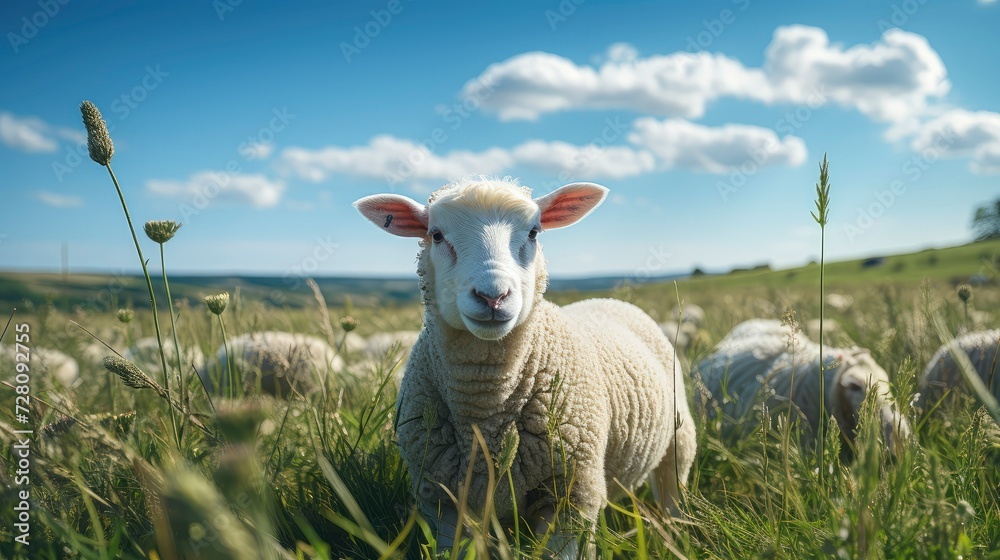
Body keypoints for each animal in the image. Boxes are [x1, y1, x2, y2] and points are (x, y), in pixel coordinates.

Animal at [354, 177, 696, 558]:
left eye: (534, 232)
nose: (493, 296)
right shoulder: (439, 498)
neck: (487, 413)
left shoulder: (571, 496)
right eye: (437, 235)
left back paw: (675, 538)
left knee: (672, 489)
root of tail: (608, 299)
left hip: (679, 438)